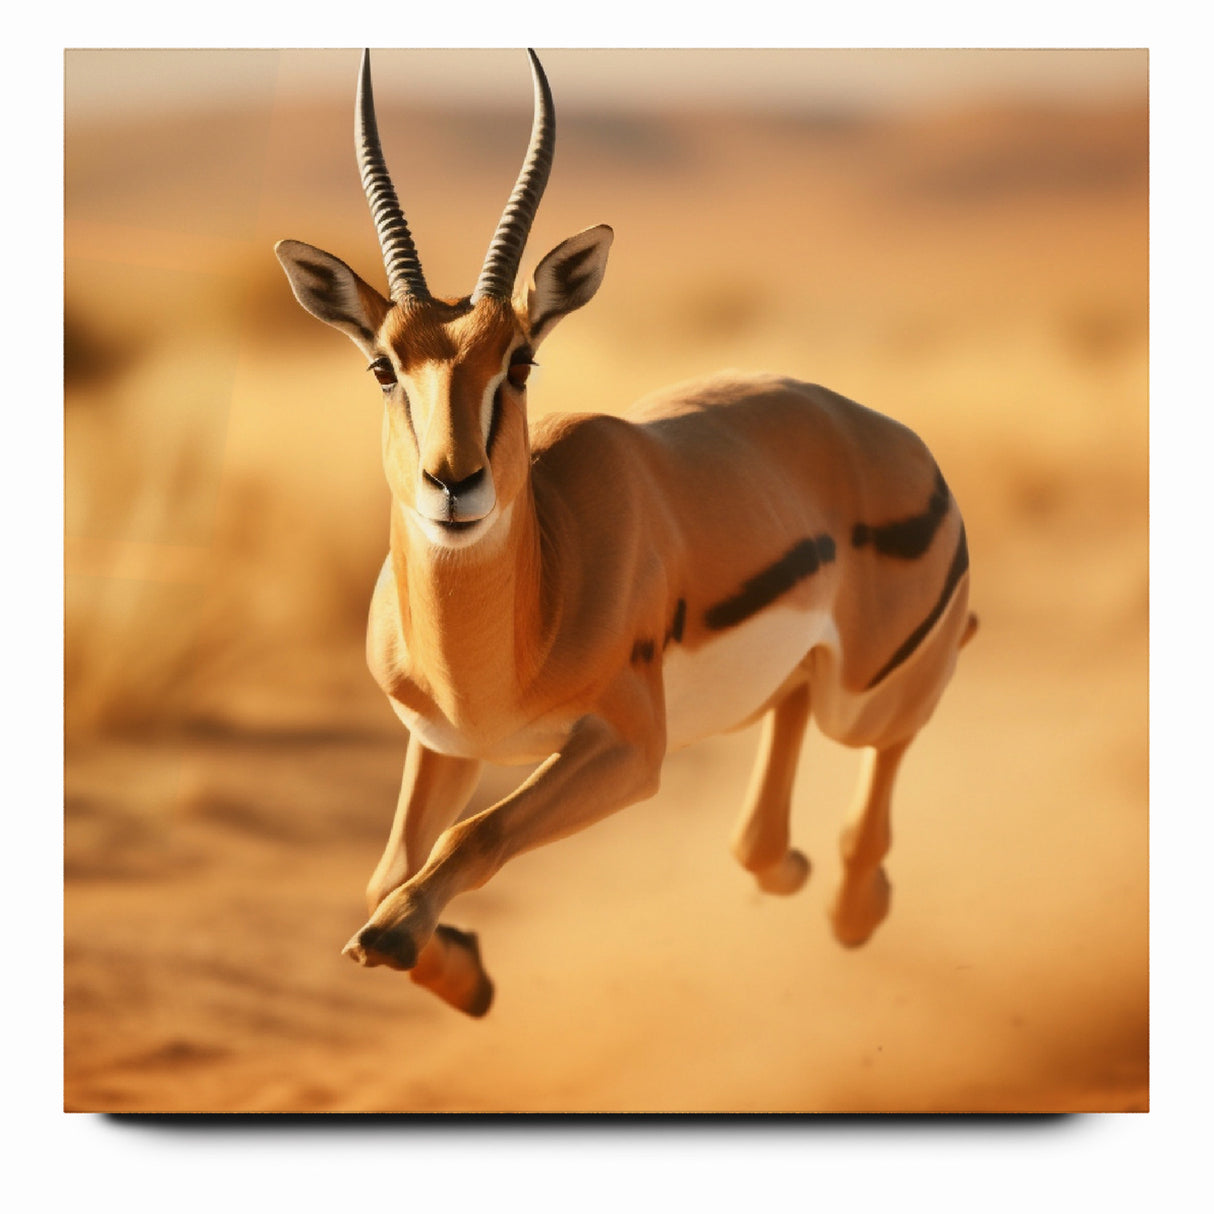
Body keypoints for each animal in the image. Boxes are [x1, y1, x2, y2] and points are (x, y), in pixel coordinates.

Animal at [276, 49, 976, 1018]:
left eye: (520, 359)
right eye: (384, 366)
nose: (454, 484)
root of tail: (899, 441)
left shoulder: (629, 749)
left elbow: (467, 841)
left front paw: (413, 944)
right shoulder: (446, 745)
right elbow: (387, 874)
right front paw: (464, 973)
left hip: (865, 696)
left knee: (898, 719)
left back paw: (853, 906)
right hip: (811, 683)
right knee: (783, 742)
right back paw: (788, 870)